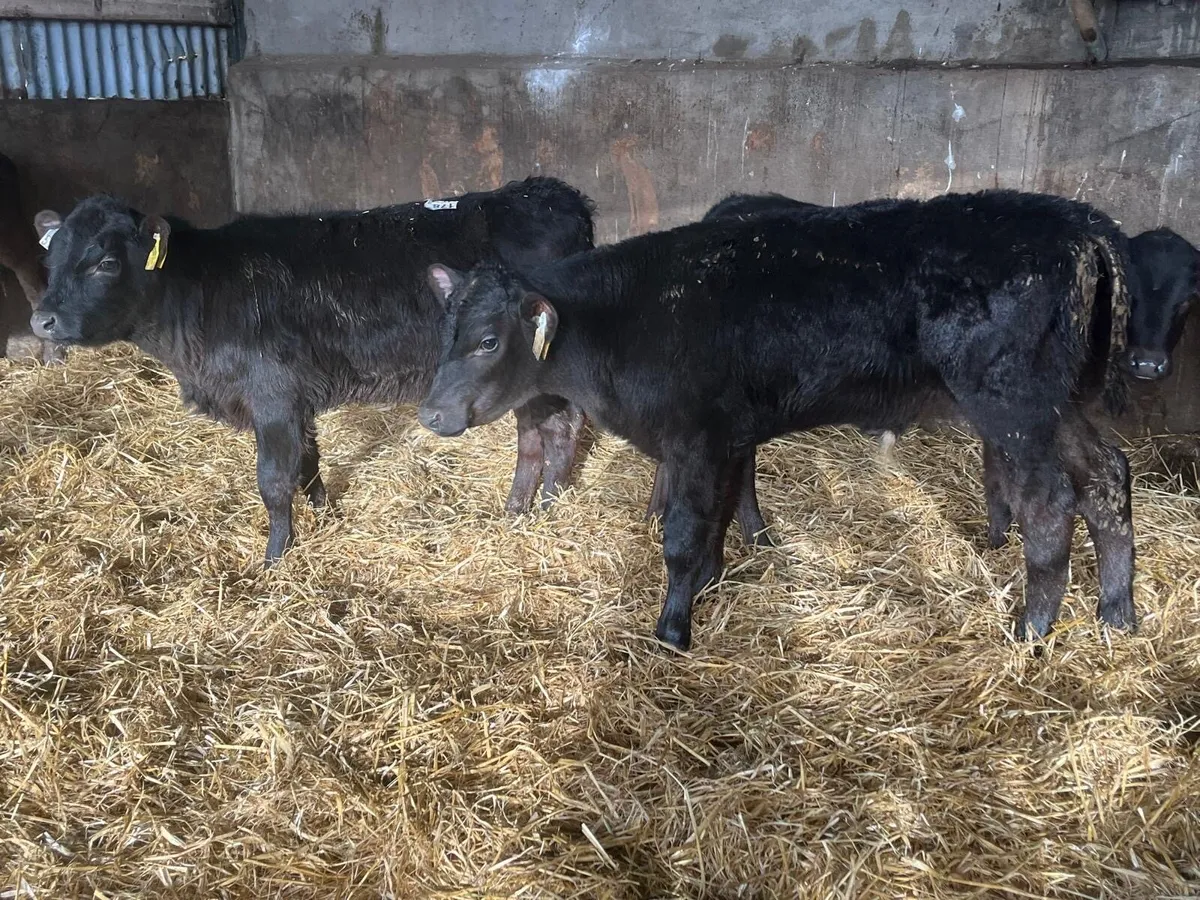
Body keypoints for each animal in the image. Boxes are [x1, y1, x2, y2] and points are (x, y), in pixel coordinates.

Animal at [30, 177, 595, 563]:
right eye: (51, 259)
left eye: (105, 262)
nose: (41, 319)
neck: (200, 291)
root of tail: (547, 192)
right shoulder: (296, 399)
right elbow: (308, 461)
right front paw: (326, 515)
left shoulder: (273, 396)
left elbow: (274, 481)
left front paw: (275, 557)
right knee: (535, 435)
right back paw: (519, 509)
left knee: (560, 428)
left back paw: (548, 506)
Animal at [417, 189, 1134, 651]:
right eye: (444, 333)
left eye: (487, 341)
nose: (431, 412)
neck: (626, 320)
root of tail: (1080, 224)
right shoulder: (727, 435)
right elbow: (722, 515)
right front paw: (712, 580)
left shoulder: (698, 437)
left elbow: (684, 534)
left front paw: (672, 631)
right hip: (1062, 403)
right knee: (1107, 478)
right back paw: (1117, 612)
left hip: (1015, 403)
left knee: (1051, 501)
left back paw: (1032, 630)